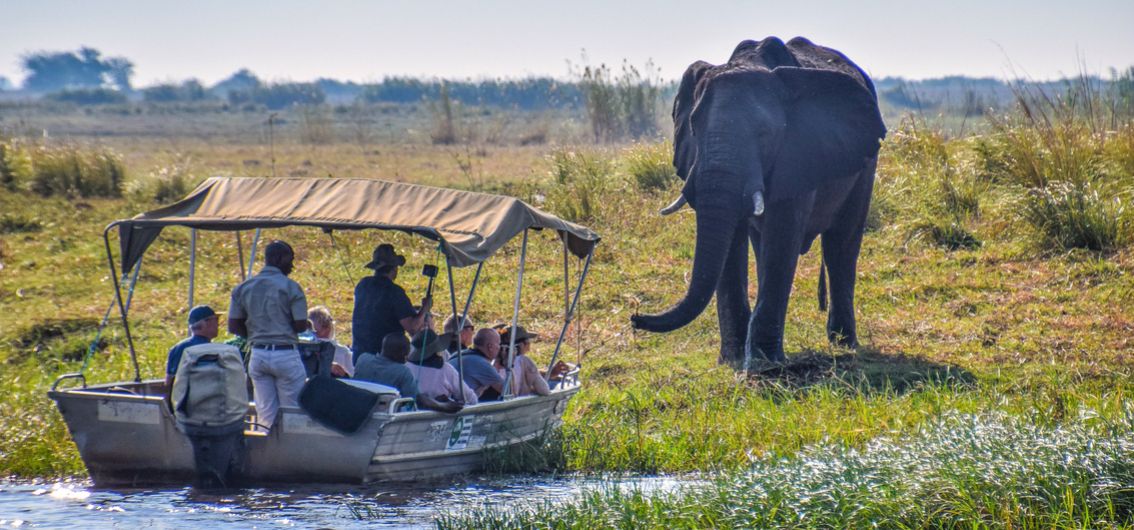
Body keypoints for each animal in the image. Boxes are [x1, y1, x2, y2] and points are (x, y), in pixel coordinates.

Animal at [630, 37, 884, 367]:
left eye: (764, 134)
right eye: (695, 128)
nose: (635, 316)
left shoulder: (797, 153)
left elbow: (783, 232)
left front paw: (764, 366)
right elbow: (734, 241)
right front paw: (734, 359)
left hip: (866, 163)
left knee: (841, 242)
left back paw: (844, 345)